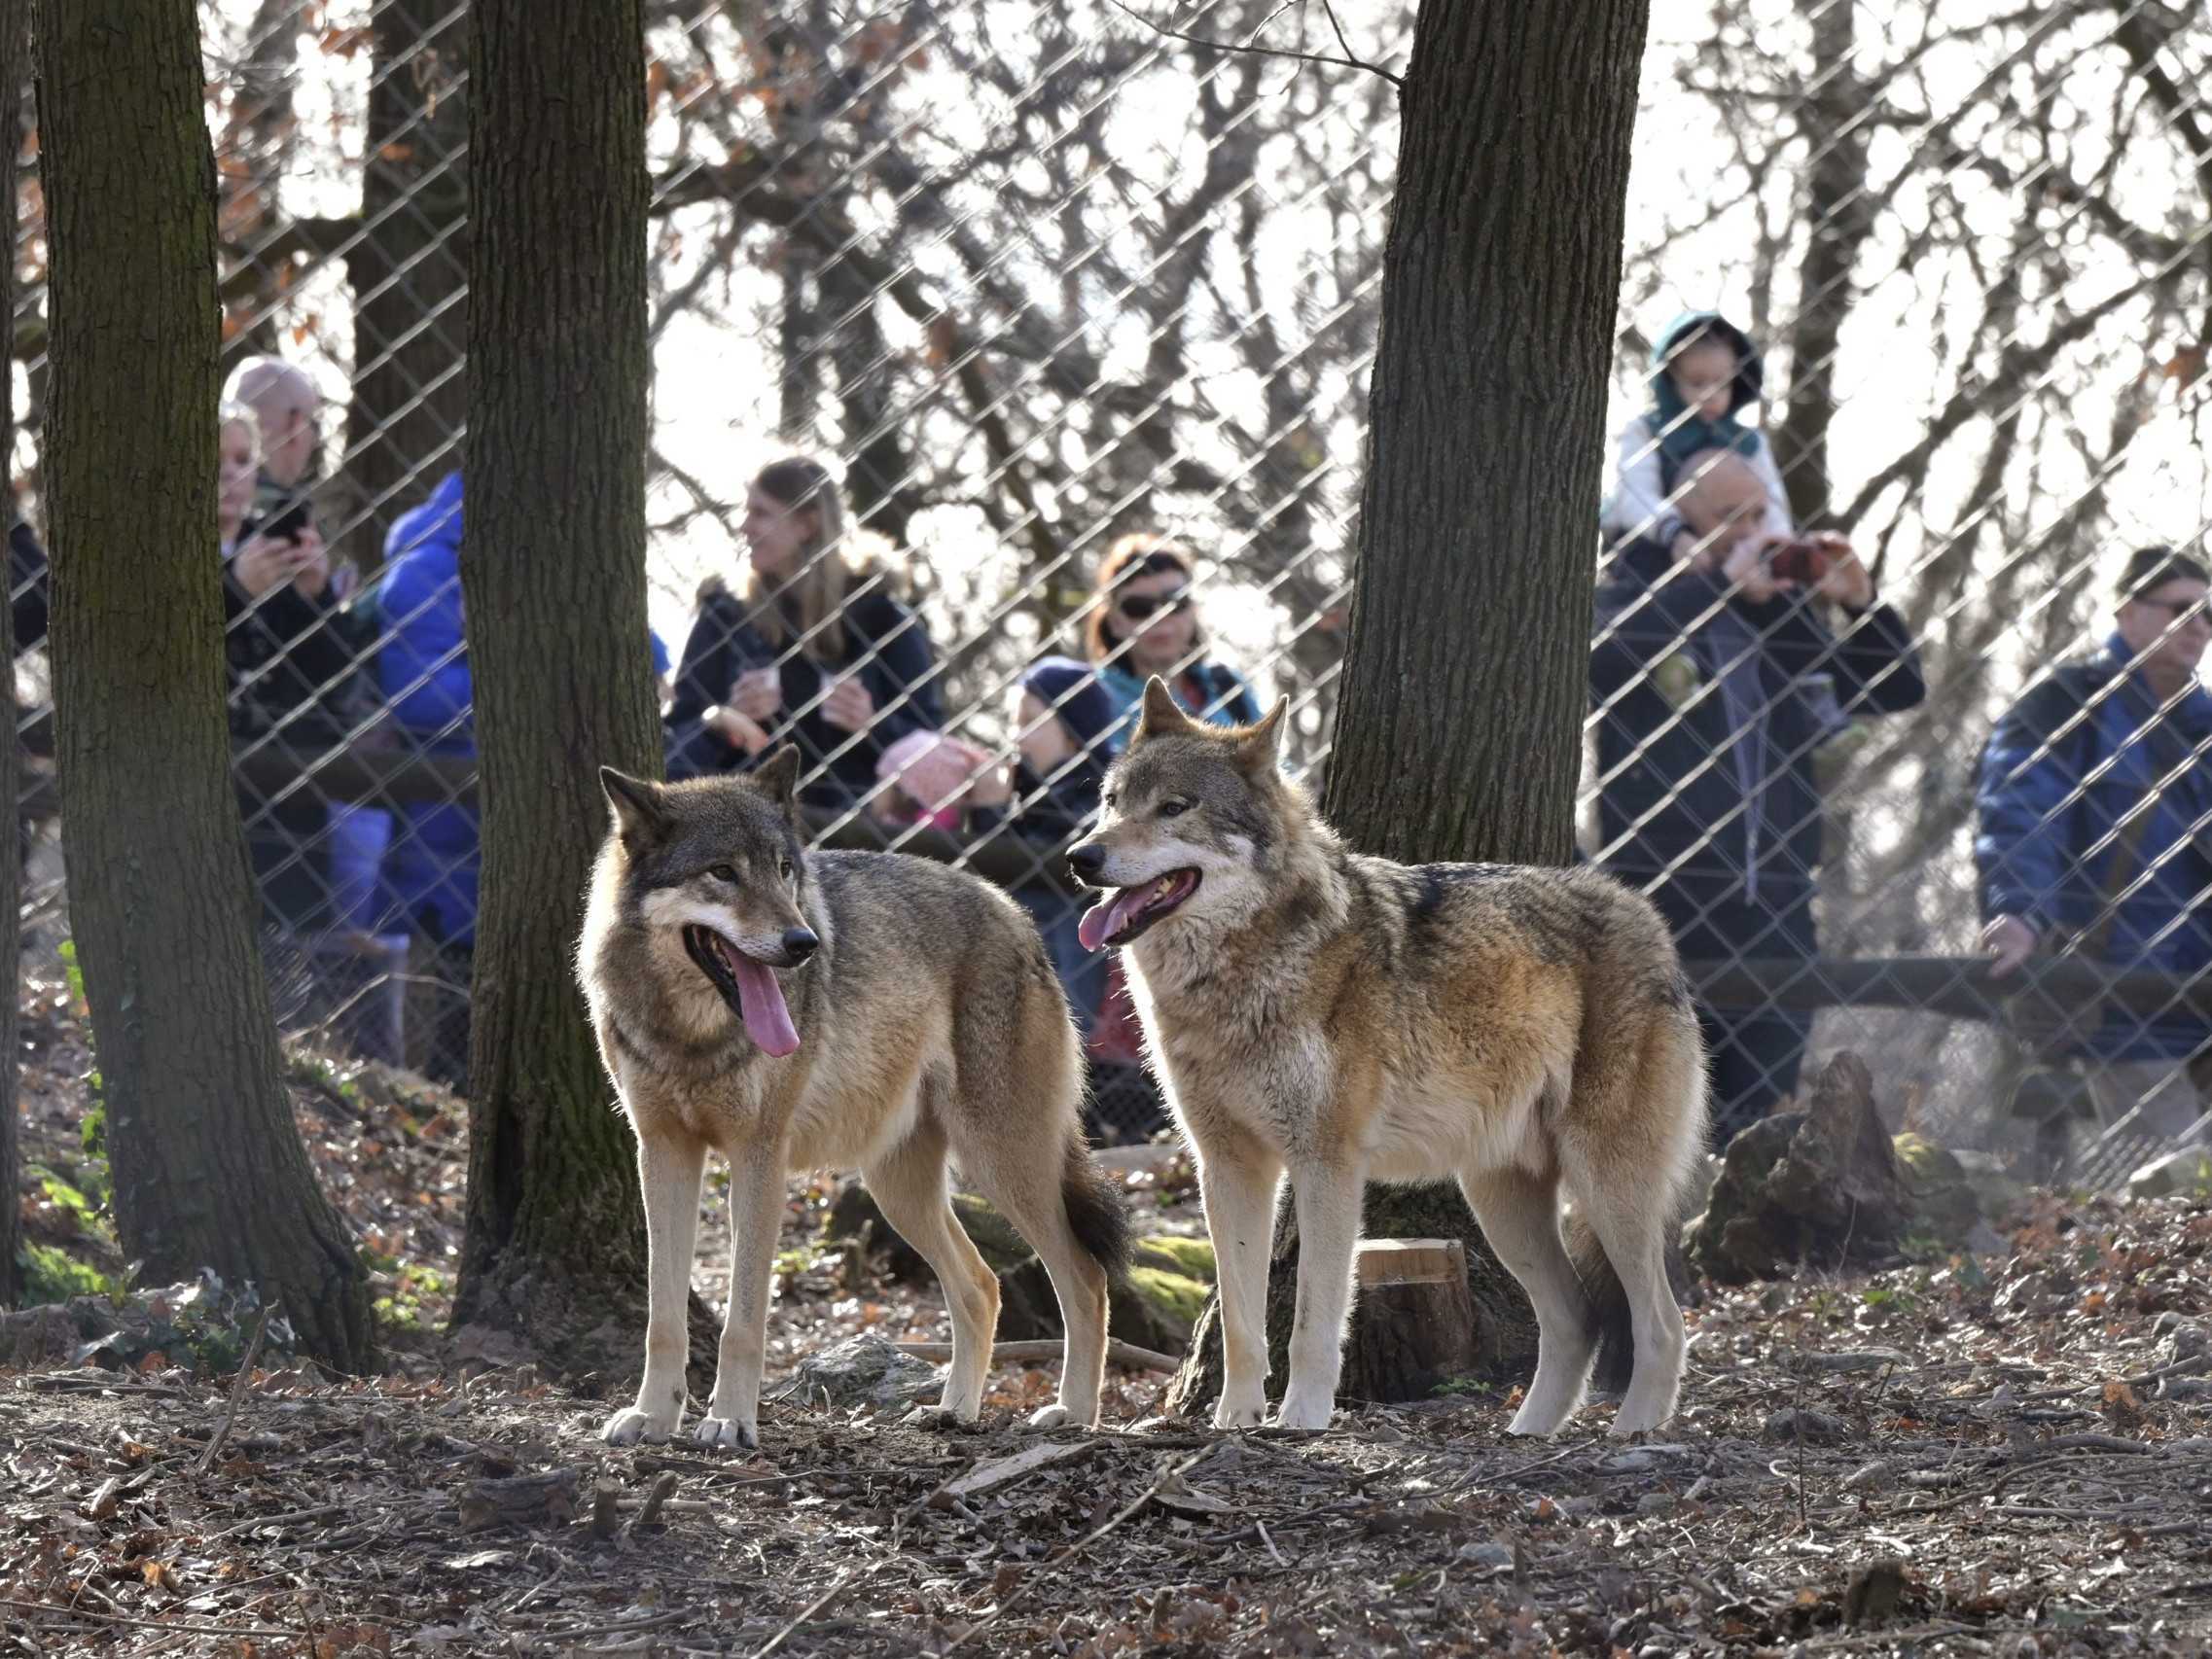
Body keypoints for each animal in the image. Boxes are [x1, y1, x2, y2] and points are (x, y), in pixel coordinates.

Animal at [584, 747, 1124, 1451]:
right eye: (723, 873)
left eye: (784, 869)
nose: (803, 943)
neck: (692, 1037)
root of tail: (1013, 909)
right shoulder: (663, 1152)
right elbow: (663, 1316)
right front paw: (652, 1416)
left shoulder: (759, 1158)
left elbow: (743, 1320)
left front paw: (729, 1420)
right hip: (898, 1189)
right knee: (981, 1286)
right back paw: (954, 1411)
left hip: (1003, 1163)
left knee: (1086, 1278)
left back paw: (1074, 1415)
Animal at [1070, 681, 1707, 1432]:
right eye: (1112, 800)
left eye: (1175, 807)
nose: (1079, 857)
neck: (1239, 976)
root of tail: (1648, 915)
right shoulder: (1227, 1166)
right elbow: (1241, 1323)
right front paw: (1234, 1422)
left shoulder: (1328, 1164)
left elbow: (1312, 1319)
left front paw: (1300, 1421)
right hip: (1500, 1199)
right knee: (1577, 1320)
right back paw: (1526, 1434)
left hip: (1604, 1183)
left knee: (1662, 1323)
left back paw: (1633, 1430)